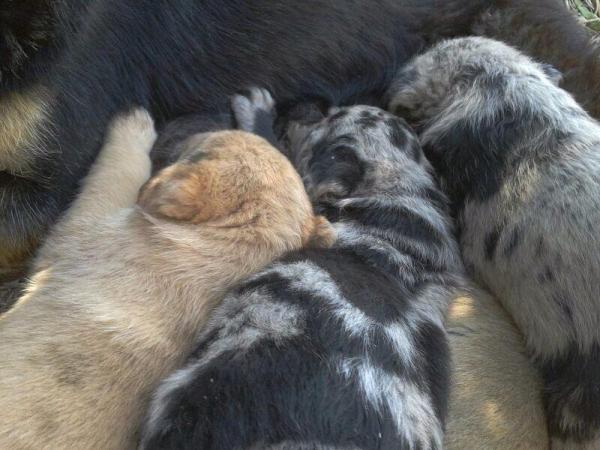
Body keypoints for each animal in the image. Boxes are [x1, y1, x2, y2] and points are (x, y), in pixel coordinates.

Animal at [0, 109, 332, 450]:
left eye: (201, 148)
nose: (193, 125)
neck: (218, 253)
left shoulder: (87, 233)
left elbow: (114, 178)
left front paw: (133, 121)